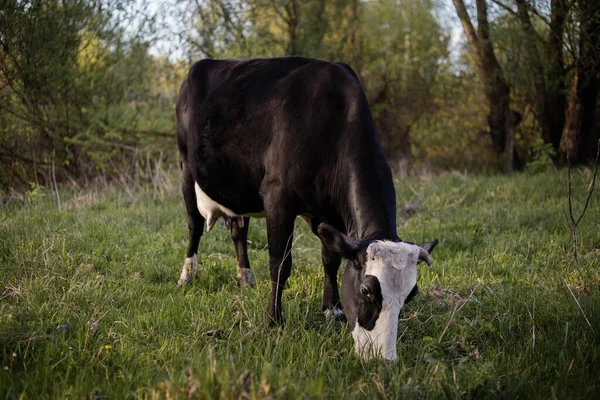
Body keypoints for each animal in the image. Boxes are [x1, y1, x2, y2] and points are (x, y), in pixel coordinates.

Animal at [176, 56, 438, 360]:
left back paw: (245, 277)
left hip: (239, 187)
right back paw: (187, 275)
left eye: (410, 295)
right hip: (186, 167)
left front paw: (332, 309)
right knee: (194, 225)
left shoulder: (331, 214)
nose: (382, 357)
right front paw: (274, 320)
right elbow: (280, 264)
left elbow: (331, 259)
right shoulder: (278, 197)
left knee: (238, 230)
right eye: (366, 290)